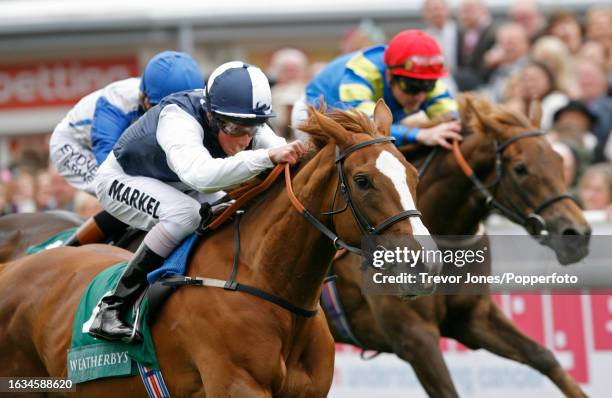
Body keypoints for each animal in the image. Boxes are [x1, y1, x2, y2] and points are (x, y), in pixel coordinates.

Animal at [328, 94, 592, 398]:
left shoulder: (473, 318)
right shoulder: (415, 336)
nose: (577, 234)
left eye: (559, 161)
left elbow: (543, 356)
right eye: (520, 169)